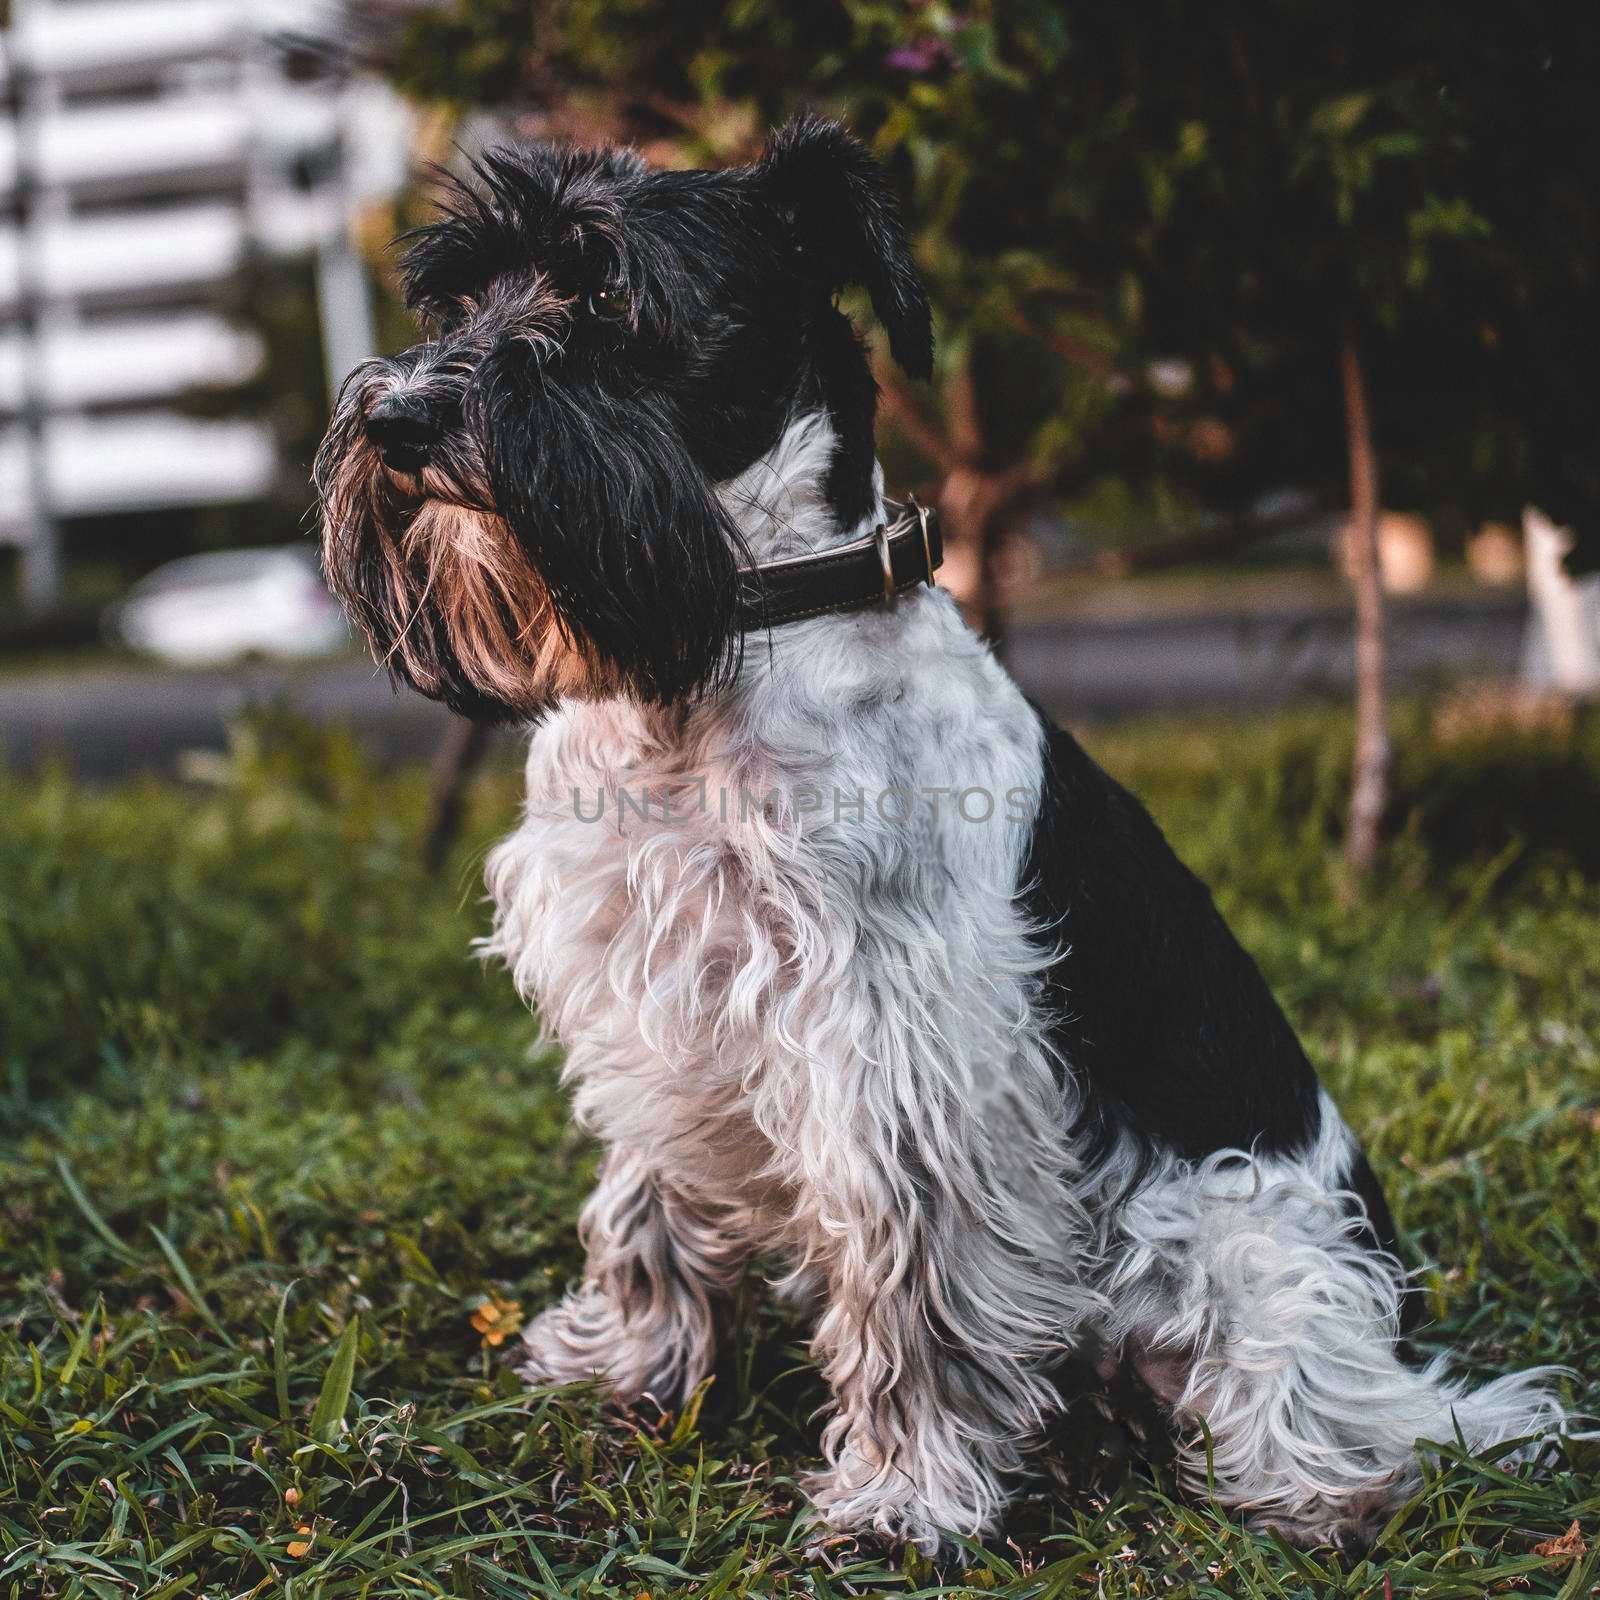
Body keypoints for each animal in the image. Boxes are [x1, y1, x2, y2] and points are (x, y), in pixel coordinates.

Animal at [318, 109, 1568, 1548]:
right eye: (459, 296)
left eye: (608, 292)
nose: (400, 412)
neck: (723, 651)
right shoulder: (655, 993)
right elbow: (645, 1196)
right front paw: (628, 1364)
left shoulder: (894, 1046)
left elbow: (911, 1285)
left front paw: (902, 1496)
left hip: (1240, 1252)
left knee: (1339, 1410)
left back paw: (1321, 1491)